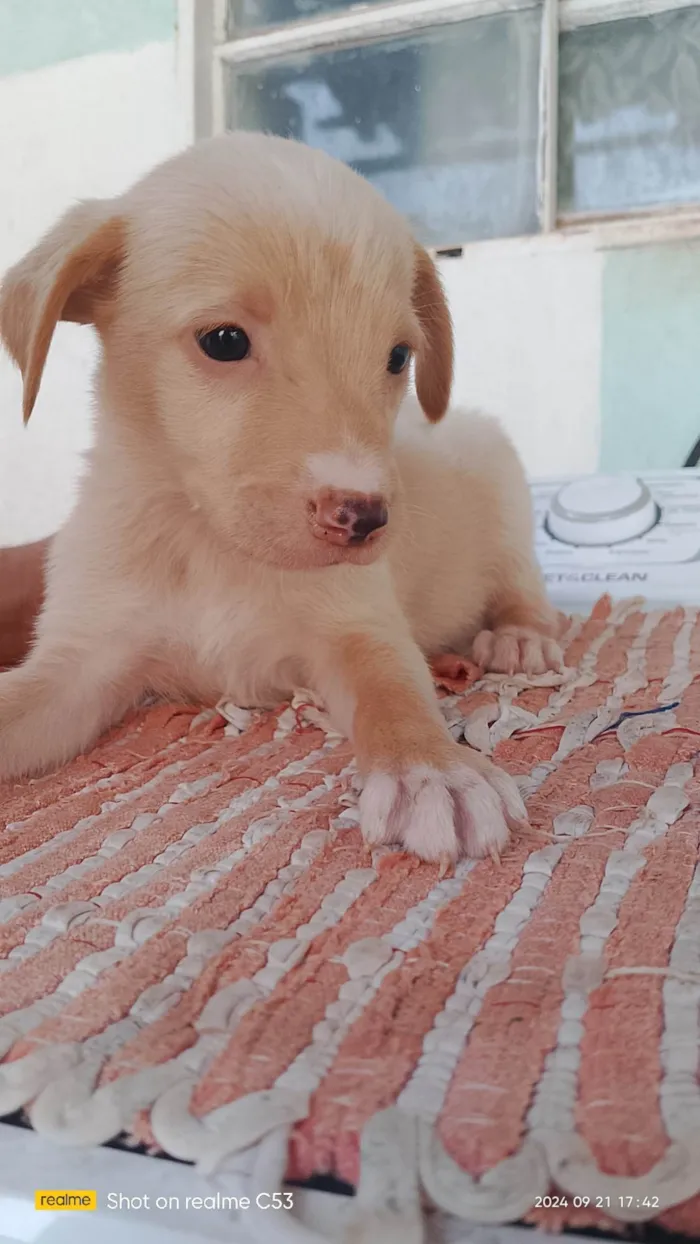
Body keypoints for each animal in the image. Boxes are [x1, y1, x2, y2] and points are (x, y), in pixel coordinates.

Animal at [0, 131, 559, 860]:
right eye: (224, 341)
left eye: (398, 357)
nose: (365, 519)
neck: (208, 545)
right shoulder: (82, 661)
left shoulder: (357, 625)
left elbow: (394, 692)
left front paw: (433, 769)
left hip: (502, 476)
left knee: (521, 580)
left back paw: (521, 639)